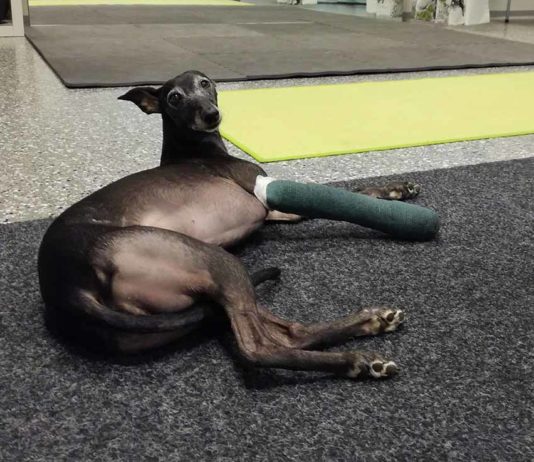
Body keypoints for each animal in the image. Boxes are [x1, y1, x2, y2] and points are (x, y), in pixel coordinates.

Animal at [38, 70, 420, 379]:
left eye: (205, 83)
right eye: (174, 97)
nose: (211, 114)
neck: (198, 149)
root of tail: (68, 288)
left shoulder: (272, 212)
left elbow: (355, 190)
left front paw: (396, 190)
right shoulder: (265, 193)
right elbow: (339, 196)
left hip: (200, 295)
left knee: (287, 332)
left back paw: (372, 322)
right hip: (215, 261)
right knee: (261, 347)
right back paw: (355, 361)